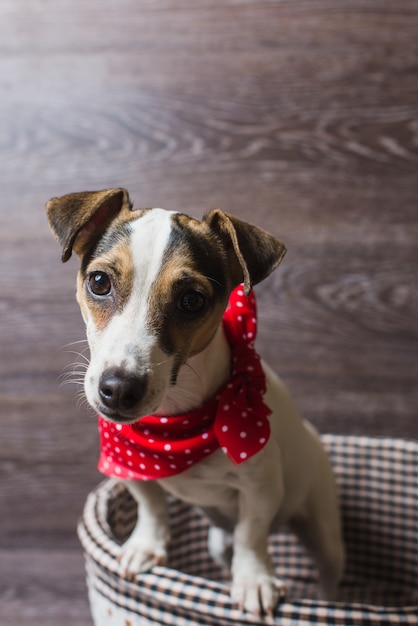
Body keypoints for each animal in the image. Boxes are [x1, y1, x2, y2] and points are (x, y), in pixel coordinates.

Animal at [47, 188, 344, 616]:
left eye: (191, 300)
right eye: (99, 281)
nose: (118, 389)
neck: (174, 425)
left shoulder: (262, 486)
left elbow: (252, 534)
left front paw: (254, 579)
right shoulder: (129, 465)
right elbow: (152, 504)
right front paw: (146, 545)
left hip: (322, 527)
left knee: (328, 573)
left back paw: (326, 600)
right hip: (218, 541)